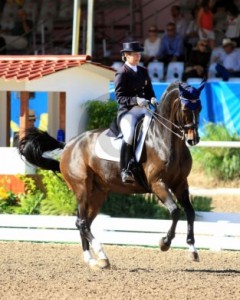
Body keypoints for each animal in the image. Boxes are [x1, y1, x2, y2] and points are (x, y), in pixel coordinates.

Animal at [17, 80, 205, 270]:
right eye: (185, 108)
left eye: (200, 108)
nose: (193, 140)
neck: (163, 139)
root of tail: (69, 145)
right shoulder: (158, 183)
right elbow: (175, 211)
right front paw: (164, 243)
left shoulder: (180, 183)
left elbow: (190, 212)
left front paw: (192, 249)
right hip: (82, 188)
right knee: (82, 222)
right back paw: (101, 256)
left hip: (98, 193)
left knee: (84, 222)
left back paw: (91, 259)